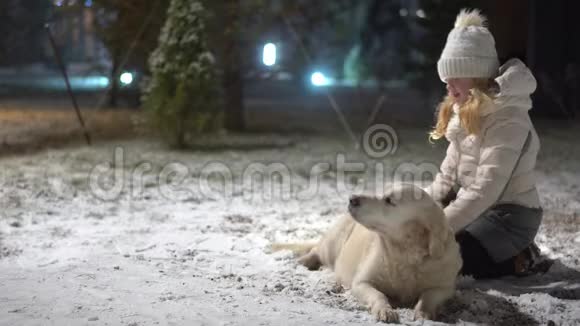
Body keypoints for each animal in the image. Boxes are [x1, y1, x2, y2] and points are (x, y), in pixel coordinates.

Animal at [272, 182, 462, 322]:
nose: (352, 198)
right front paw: (386, 311)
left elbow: (428, 297)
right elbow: (378, 295)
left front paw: (423, 313)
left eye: (389, 200)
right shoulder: (362, 282)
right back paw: (304, 261)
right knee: (316, 250)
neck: (404, 253)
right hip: (333, 242)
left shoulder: (444, 287)